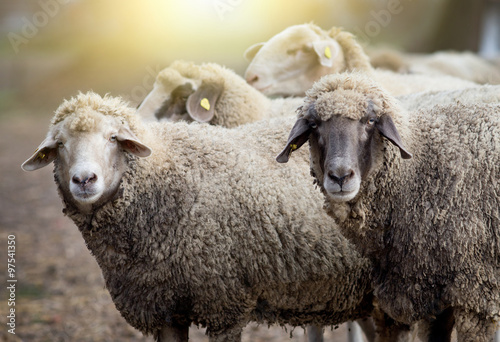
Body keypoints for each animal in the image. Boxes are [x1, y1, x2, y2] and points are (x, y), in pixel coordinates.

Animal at [278, 72, 500, 342]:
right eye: (313, 124)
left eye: (370, 121)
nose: (340, 177)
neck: (416, 173)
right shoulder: (432, 296)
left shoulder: (476, 295)